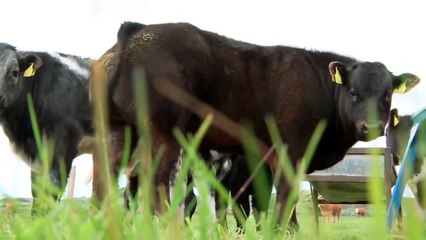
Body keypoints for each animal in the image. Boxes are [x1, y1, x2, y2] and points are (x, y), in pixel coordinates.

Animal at [90, 21, 420, 226]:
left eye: (387, 94)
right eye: (353, 93)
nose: (372, 126)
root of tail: (135, 30)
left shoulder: (263, 159)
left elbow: (268, 205)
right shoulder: (289, 153)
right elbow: (283, 201)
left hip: (117, 134)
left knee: (105, 184)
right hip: (164, 134)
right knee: (157, 183)